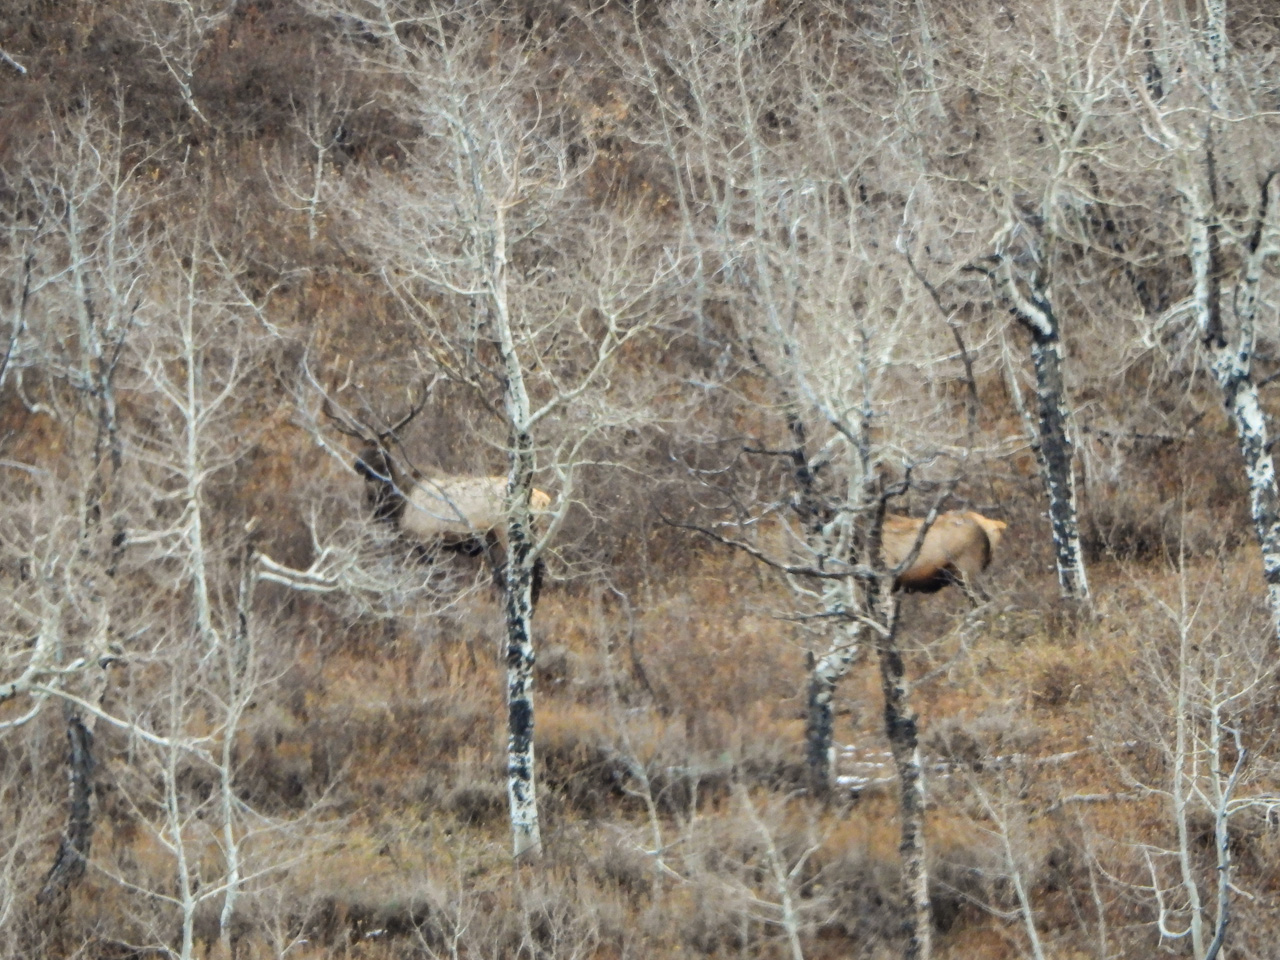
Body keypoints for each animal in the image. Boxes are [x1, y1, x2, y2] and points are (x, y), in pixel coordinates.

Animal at [324, 394, 553, 605]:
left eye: (380, 449)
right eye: (359, 446)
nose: (358, 465)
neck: (399, 505)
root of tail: (543, 498)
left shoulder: (425, 537)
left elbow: (431, 580)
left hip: (507, 530)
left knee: (533, 568)